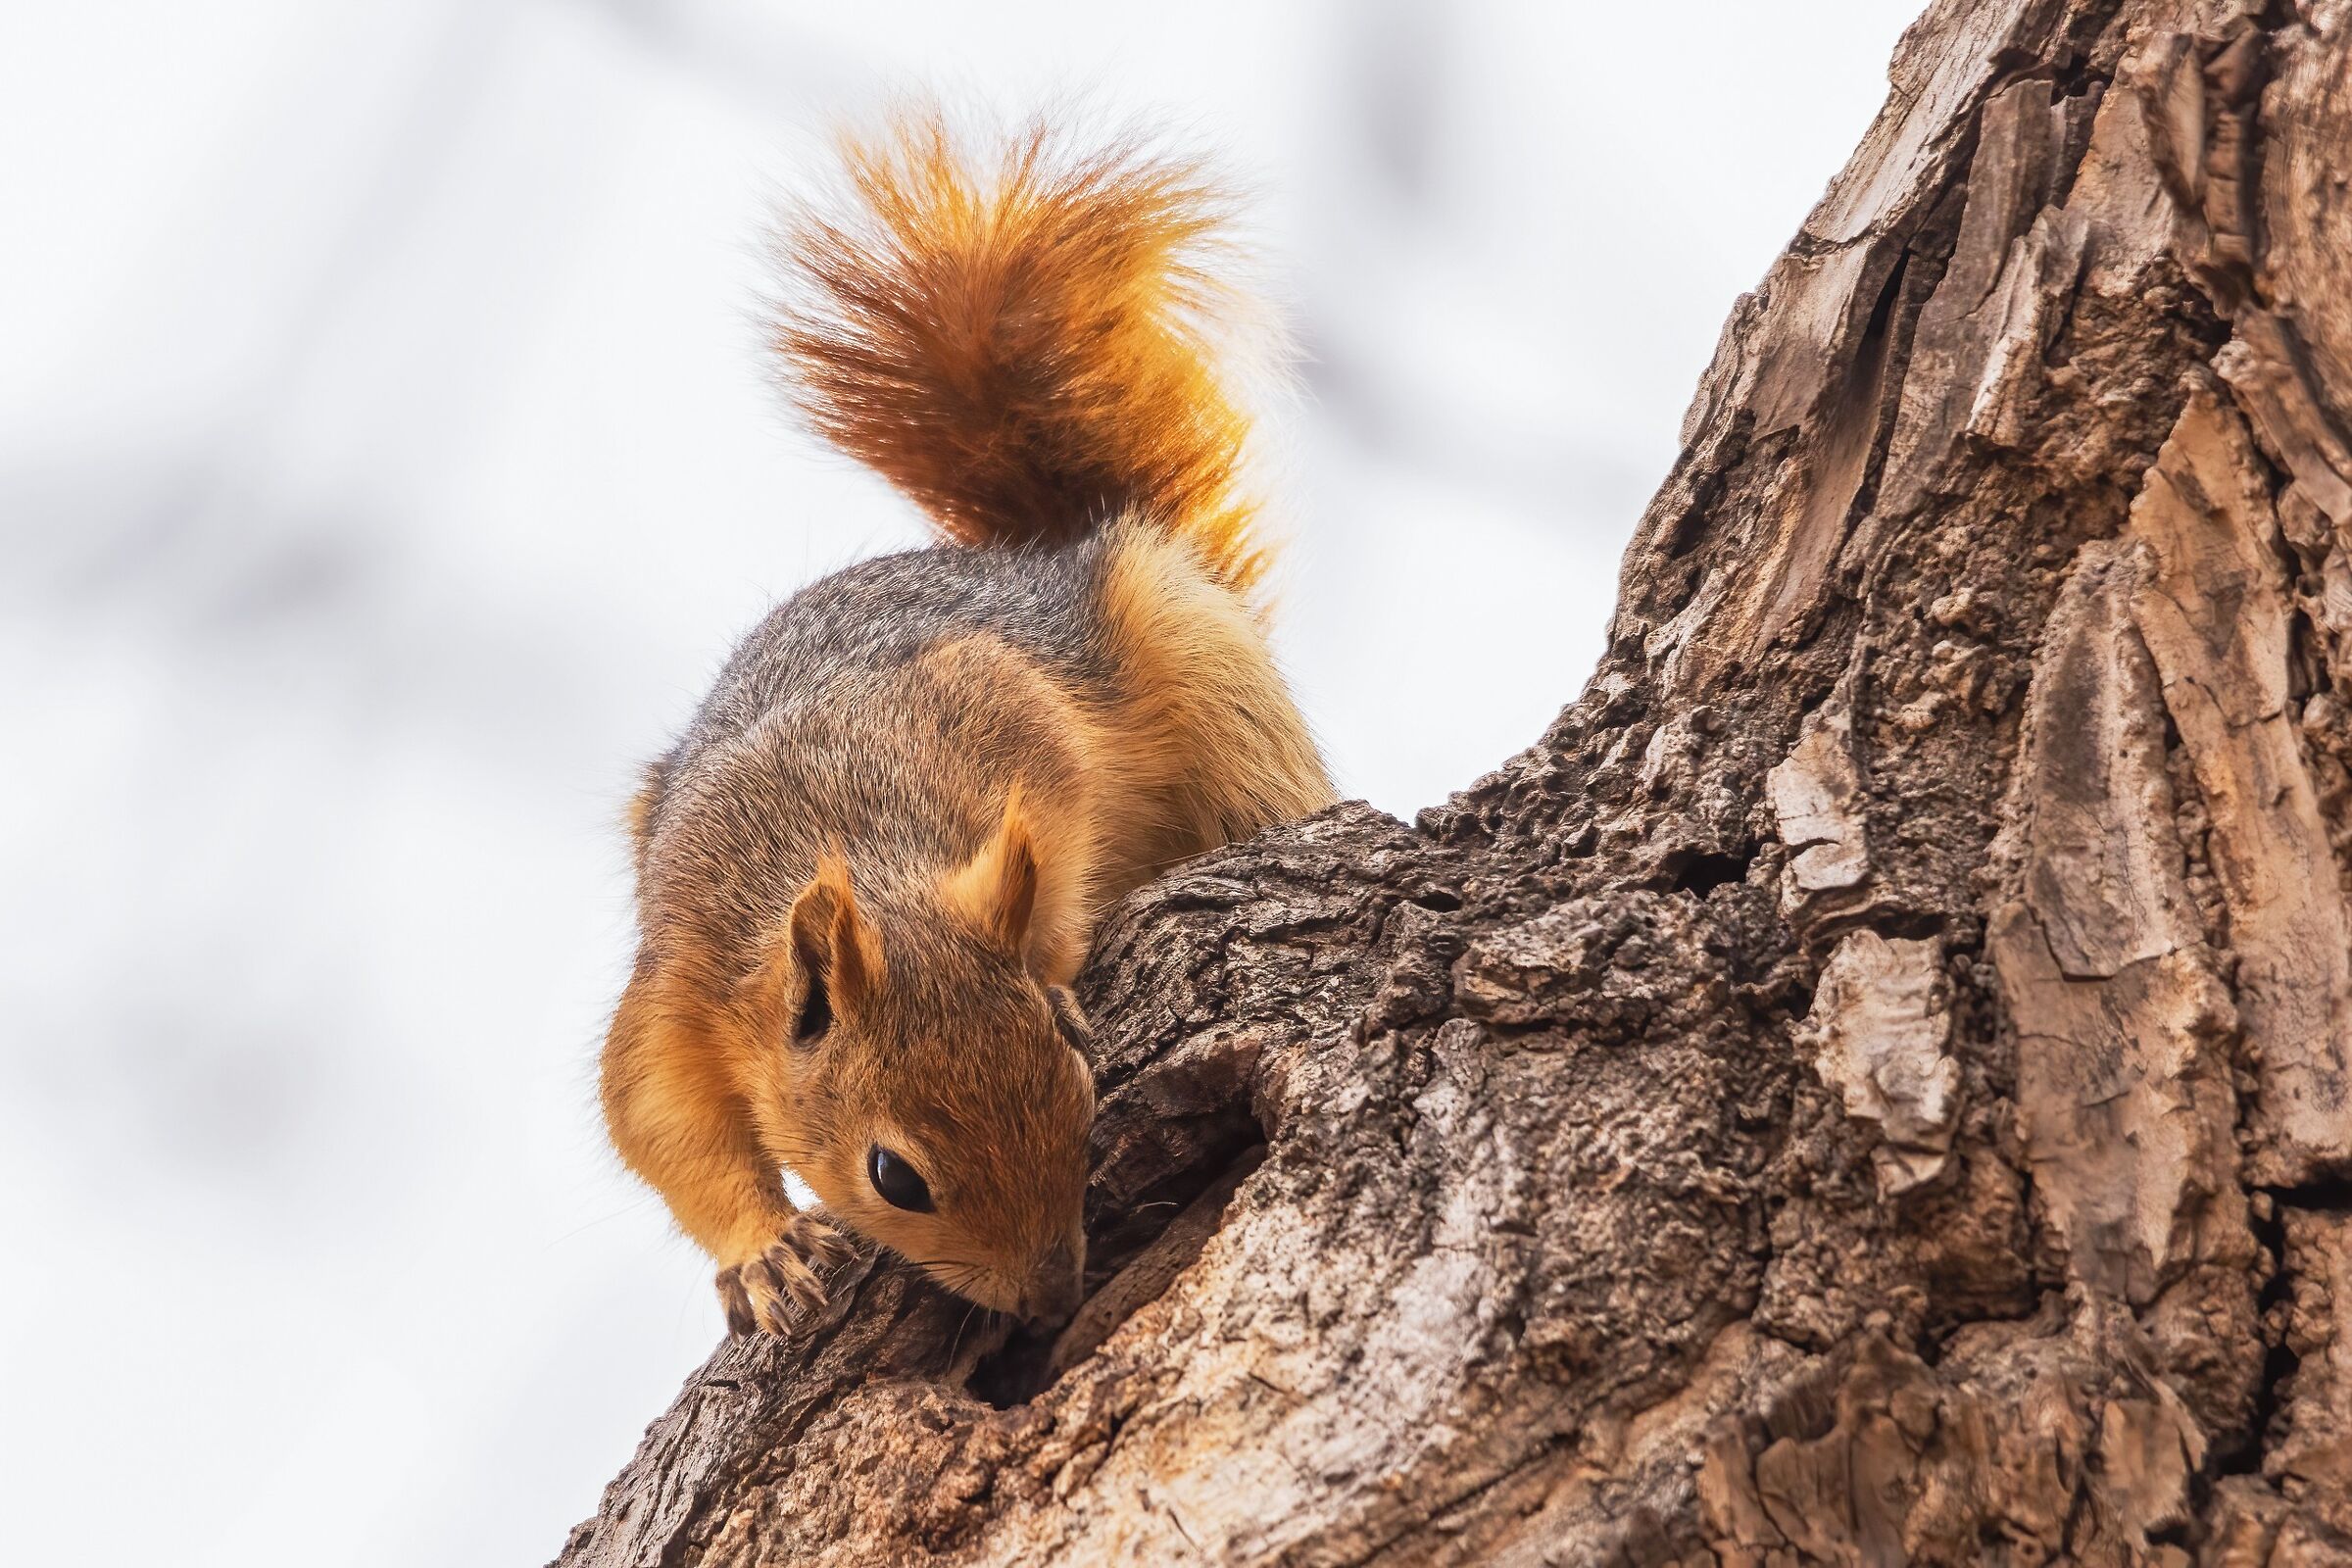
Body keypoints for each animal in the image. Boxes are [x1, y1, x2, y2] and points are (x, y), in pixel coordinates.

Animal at [601, 114, 1335, 1337]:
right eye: (894, 1176)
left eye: (1076, 1065)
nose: (1048, 1297)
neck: (851, 849)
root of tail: (1038, 556)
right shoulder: (686, 974)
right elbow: (655, 1119)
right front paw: (766, 1255)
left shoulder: (1011, 714)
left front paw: (1052, 960)